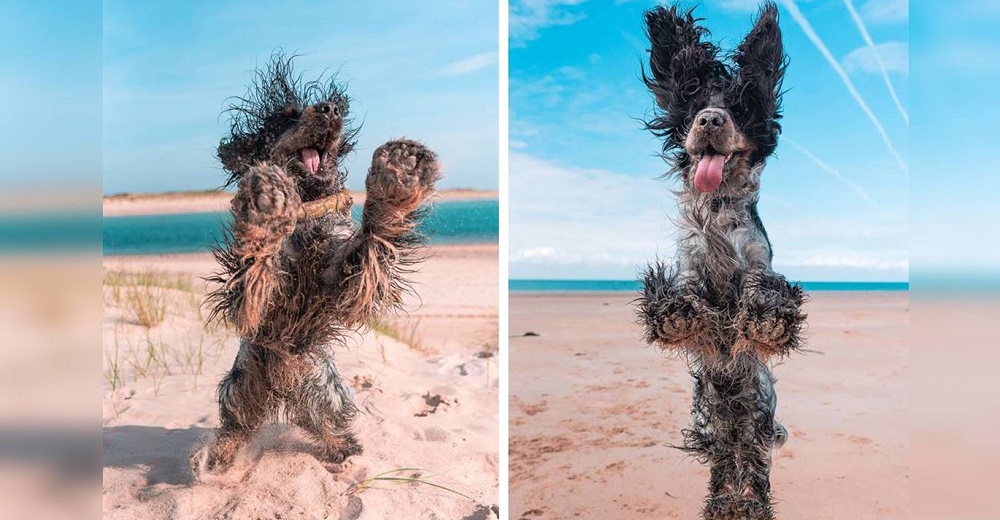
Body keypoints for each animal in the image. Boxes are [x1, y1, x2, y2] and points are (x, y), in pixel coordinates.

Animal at [192, 54, 442, 474]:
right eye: (286, 117)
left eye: (328, 107)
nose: (329, 109)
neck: (308, 209)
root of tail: (284, 389)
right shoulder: (250, 301)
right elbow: (257, 269)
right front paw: (266, 204)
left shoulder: (344, 280)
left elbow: (370, 240)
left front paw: (400, 173)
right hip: (241, 388)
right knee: (235, 428)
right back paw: (217, 459)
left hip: (328, 396)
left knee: (331, 428)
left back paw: (346, 454)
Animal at [636, 5, 808, 520]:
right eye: (694, 105)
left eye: (739, 106)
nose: (711, 120)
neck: (716, 210)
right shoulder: (690, 262)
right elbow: (686, 294)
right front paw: (675, 314)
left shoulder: (757, 261)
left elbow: (763, 291)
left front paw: (767, 319)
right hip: (712, 426)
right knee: (722, 467)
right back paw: (720, 503)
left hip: (757, 424)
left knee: (752, 471)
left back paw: (749, 506)